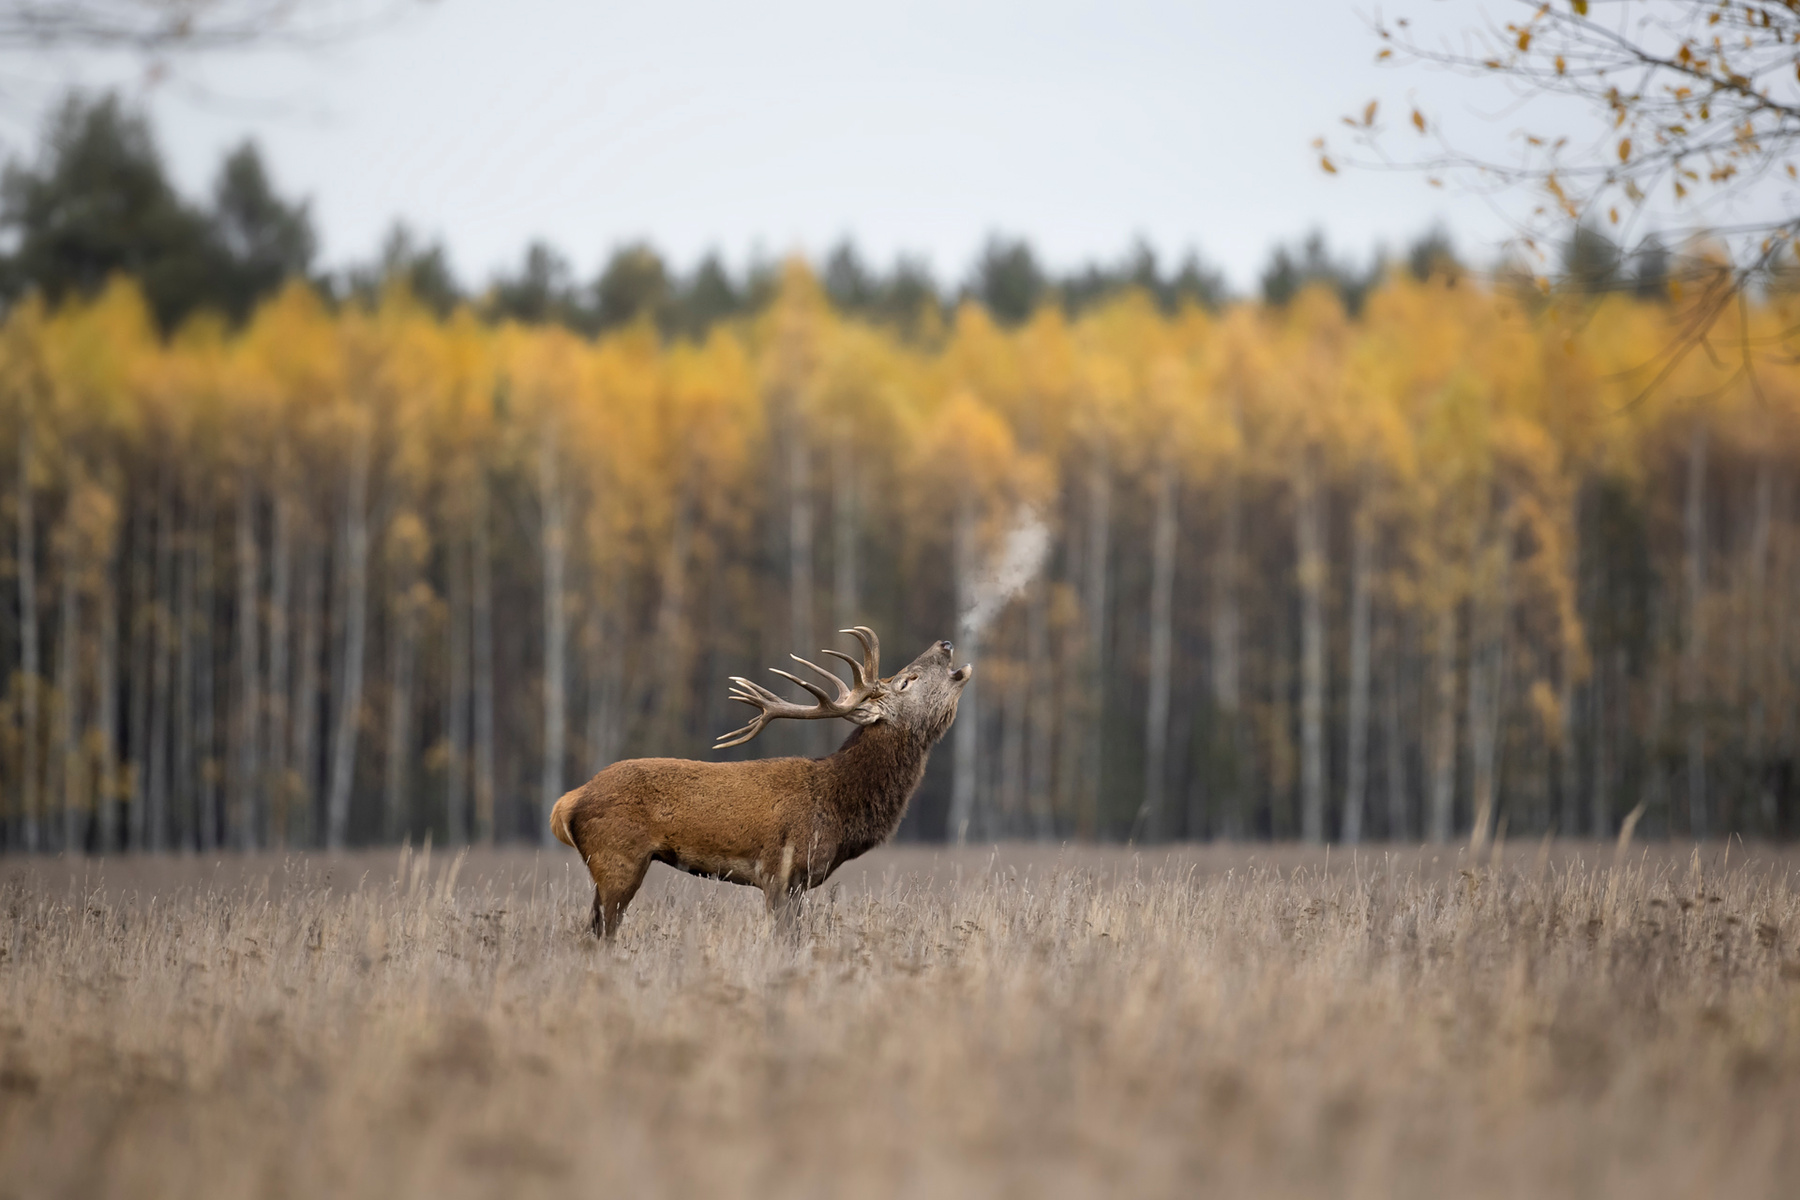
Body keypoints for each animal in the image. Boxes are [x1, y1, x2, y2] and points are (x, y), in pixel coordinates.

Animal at [550, 627, 972, 937]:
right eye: (906, 681)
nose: (945, 643)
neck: (839, 804)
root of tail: (566, 803)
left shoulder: (799, 882)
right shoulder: (779, 871)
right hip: (616, 859)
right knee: (598, 934)